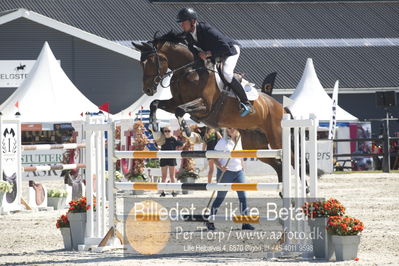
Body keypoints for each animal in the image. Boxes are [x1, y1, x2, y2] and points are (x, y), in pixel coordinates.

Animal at [134, 31, 288, 184]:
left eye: (152, 61)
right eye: (141, 63)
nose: (148, 90)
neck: (189, 71)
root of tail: (280, 106)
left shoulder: (204, 105)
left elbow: (180, 110)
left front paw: (187, 131)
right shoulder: (175, 102)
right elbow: (155, 103)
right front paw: (154, 128)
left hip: (276, 138)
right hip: (254, 143)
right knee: (278, 164)